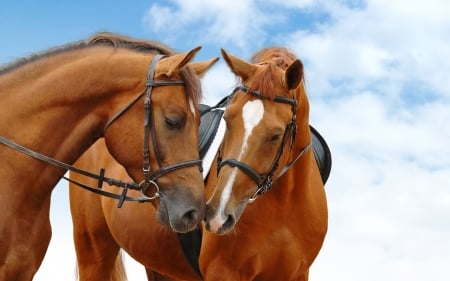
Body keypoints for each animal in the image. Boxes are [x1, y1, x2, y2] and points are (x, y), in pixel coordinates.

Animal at [68, 47, 328, 278]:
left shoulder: (298, 274)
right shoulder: (223, 273)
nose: (218, 214)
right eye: (228, 119)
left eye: (275, 135)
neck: (284, 204)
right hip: (94, 252)